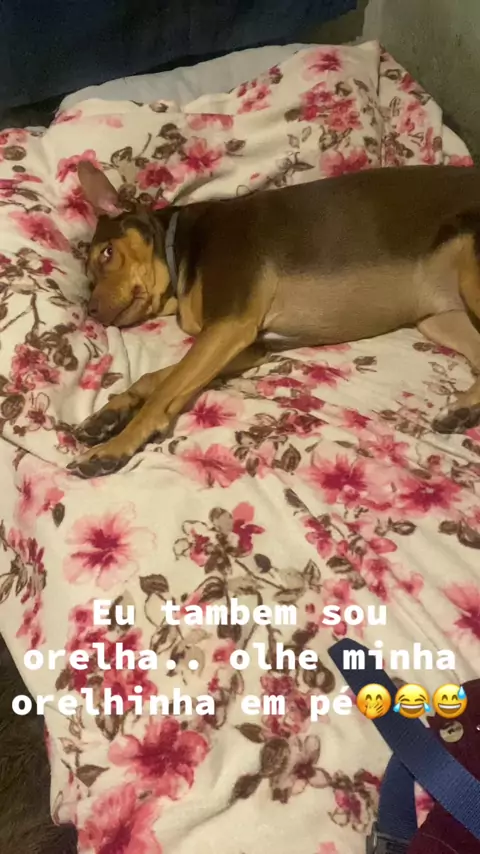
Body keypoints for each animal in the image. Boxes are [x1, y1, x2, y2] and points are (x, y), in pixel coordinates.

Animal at [67, 161, 480, 478]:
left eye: (107, 254)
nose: (91, 311)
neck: (177, 251)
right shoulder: (247, 345)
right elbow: (155, 379)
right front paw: (109, 414)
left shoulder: (230, 325)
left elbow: (166, 390)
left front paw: (113, 448)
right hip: (440, 319)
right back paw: (463, 409)